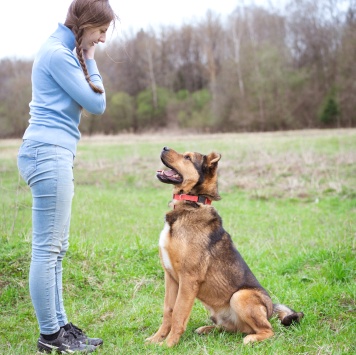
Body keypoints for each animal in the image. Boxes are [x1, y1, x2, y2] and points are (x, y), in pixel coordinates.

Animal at [146, 147, 304, 348]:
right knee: (231, 329)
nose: (164, 147)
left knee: (267, 330)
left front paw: (168, 345)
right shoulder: (171, 278)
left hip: (240, 296)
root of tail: (270, 310)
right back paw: (207, 329)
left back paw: (251, 338)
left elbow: (179, 314)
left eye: (188, 157)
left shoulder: (188, 279)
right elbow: (168, 311)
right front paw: (156, 339)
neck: (192, 203)